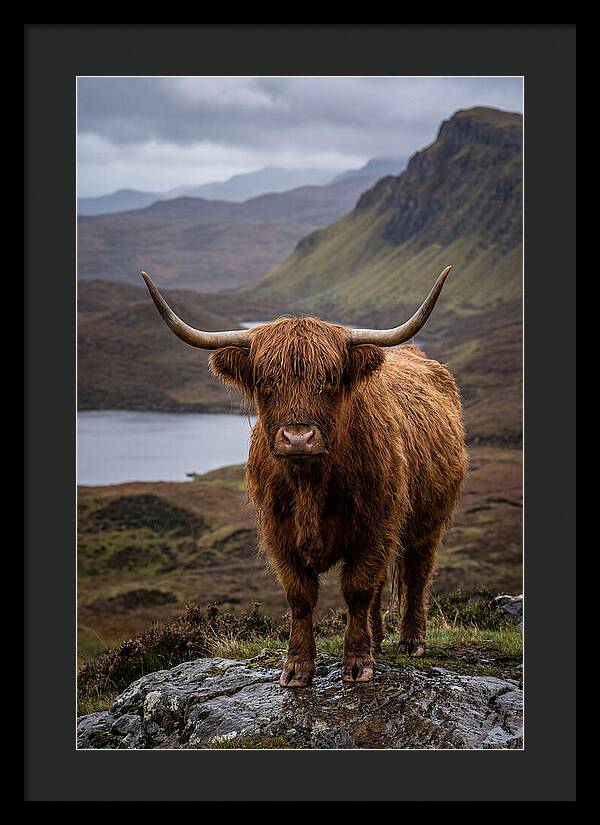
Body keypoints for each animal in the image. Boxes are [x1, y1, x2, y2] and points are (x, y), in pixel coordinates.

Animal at [141, 267, 467, 687]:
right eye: (265, 381)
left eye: (329, 379)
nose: (298, 437)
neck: (310, 483)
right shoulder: (278, 533)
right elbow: (301, 595)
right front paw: (297, 667)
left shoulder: (375, 525)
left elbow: (357, 588)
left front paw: (357, 663)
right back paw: (378, 640)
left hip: (428, 521)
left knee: (415, 573)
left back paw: (412, 641)